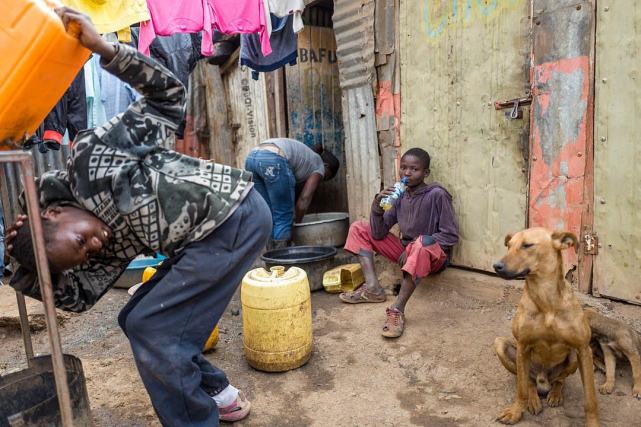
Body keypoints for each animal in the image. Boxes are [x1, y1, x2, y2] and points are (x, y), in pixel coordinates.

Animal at [492, 229, 596, 426]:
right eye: (509, 245)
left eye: (527, 245)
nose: (496, 266)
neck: (545, 299)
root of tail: (543, 381)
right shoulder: (523, 346)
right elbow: (521, 389)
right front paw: (516, 412)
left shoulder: (583, 349)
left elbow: (590, 400)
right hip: (501, 345)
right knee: (528, 382)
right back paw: (533, 399)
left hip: (573, 357)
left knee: (559, 380)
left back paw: (555, 394)